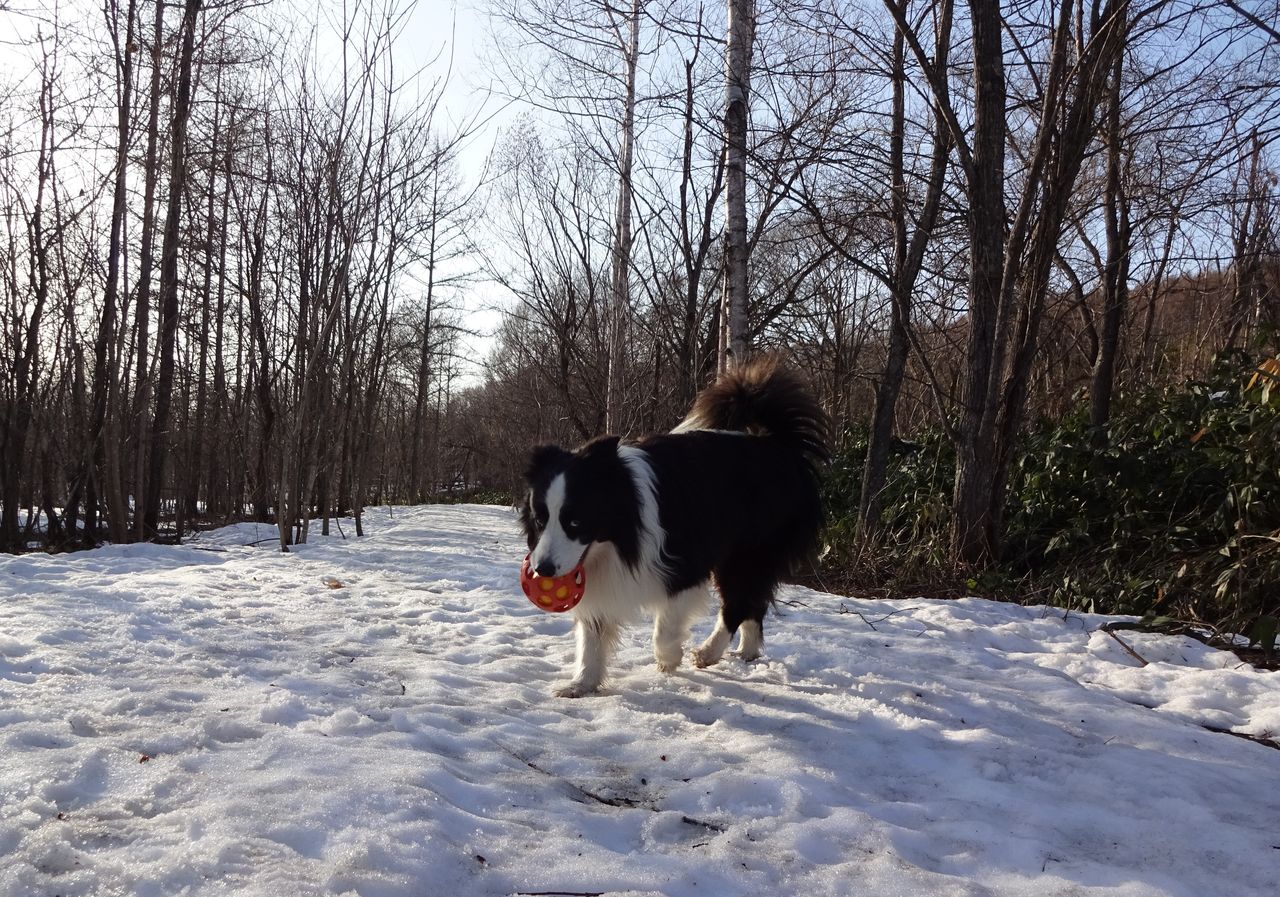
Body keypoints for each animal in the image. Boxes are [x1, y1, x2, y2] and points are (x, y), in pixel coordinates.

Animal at [518, 356, 828, 697]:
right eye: (540, 518)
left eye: (575, 521)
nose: (543, 570)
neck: (620, 533)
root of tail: (781, 445)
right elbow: (592, 630)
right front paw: (582, 683)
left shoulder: (683, 561)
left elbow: (664, 627)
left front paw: (669, 659)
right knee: (753, 600)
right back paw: (746, 651)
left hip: (752, 545)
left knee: (738, 600)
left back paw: (708, 652)